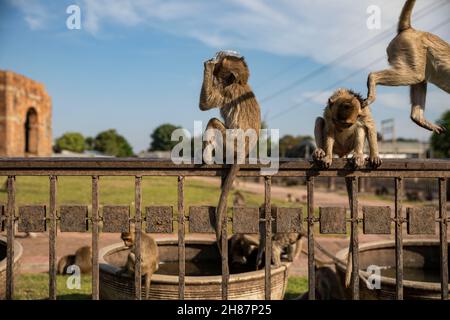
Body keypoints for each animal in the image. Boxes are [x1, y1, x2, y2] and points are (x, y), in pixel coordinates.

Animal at [364, 0, 448, 134]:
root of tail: (410, 29)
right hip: (410, 48)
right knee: (416, 76)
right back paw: (372, 79)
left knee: (420, 79)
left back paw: (419, 118)